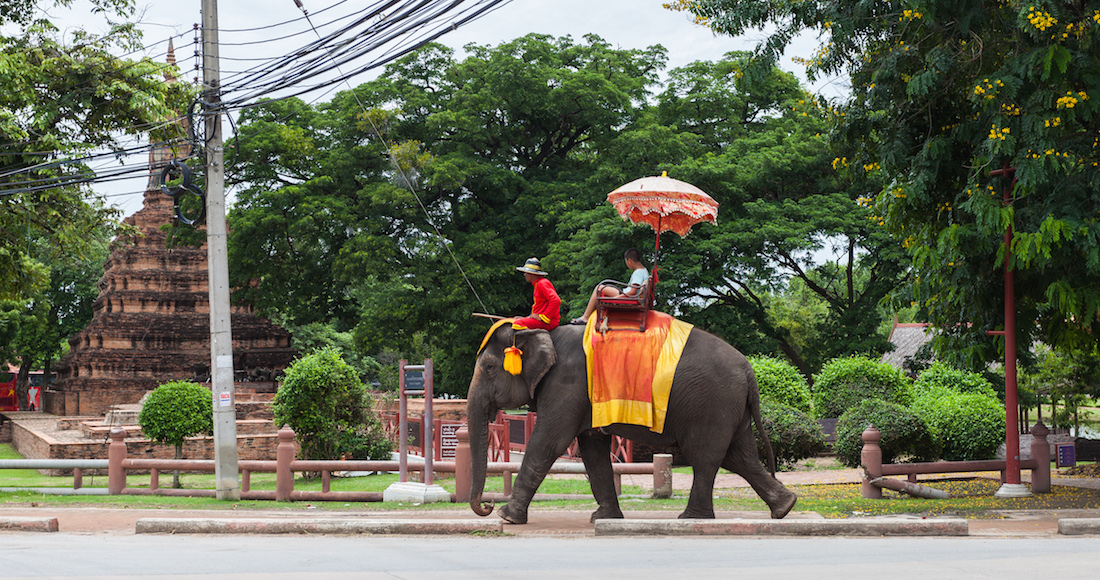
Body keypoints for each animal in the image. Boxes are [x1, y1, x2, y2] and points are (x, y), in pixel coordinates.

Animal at [466, 322, 798, 524]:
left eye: (490, 367)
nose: (488, 505)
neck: (540, 331)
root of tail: (750, 371)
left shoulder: (567, 385)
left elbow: (549, 441)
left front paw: (507, 517)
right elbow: (591, 449)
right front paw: (603, 519)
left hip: (711, 405)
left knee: (706, 457)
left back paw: (691, 518)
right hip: (730, 409)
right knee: (739, 457)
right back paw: (785, 507)